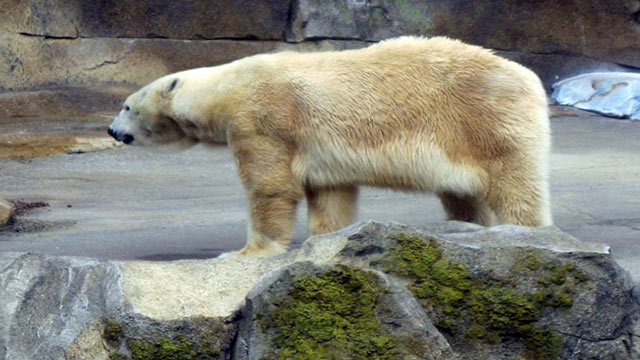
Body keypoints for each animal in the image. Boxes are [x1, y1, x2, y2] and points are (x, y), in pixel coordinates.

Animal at [109, 36, 552, 256]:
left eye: (127, 105)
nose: (113, 131)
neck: (228, 87)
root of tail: (529, 76)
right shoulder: (323, 150)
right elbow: (330, 195)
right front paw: (328, 241)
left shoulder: (264, 118)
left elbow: (271, 187)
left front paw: (248, 252)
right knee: (463, 194)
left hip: (485, 119)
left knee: (516, 186)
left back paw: (525, 232)